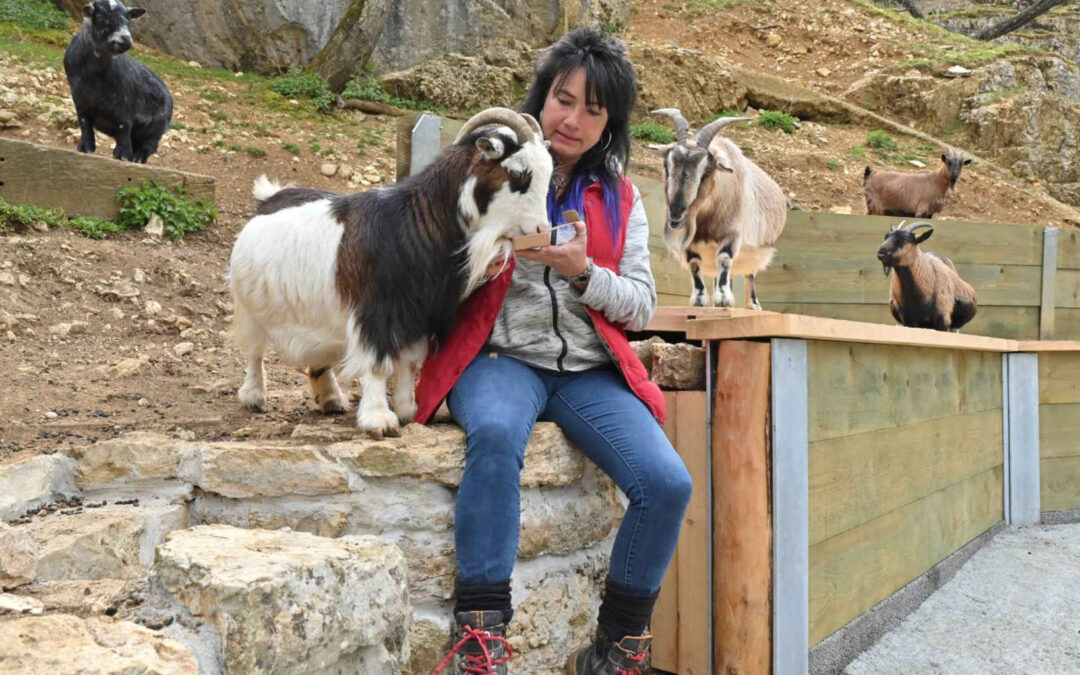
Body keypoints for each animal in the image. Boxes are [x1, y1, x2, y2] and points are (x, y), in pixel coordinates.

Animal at [63, 0, 170, 163]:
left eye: (128, 18)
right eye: (102, 15)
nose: (125, 39)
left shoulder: (124, 105)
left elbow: (123, 126)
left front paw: (122, 156)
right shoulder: (80, 102)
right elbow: (85, 125)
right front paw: (85, 148)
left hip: (156, 130)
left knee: (148, 147)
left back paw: (138, 159)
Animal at [225, 107, 548, 436]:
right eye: (519, 174)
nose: (542, 231)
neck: (414, 223)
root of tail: (268, 199)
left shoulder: (418, 315)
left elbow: (408, 363)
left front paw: (406, 410)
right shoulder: (376, 314)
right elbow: (379, 365)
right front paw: (379, 419)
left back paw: (331, 397)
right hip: (250, 306)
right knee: (254, 350)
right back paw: (254, 395)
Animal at [643, 109, 790, 308]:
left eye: (706, 172)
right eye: (667, 166)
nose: (676, 212)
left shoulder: (731, 234)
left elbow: (725, 259)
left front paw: (723, 298)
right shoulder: (691, 242)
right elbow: (694, 264)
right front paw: (700, 299)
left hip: (755, 250)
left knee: (749, 272)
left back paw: (752, 304)